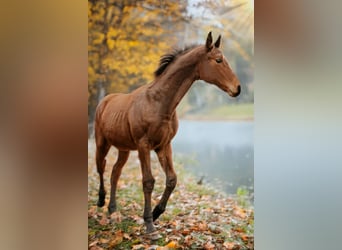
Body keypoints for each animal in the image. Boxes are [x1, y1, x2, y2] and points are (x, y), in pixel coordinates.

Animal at [93, 31, 240, 234]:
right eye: (218, 60)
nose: (237, 88)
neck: (159, 102)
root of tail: (105, 100)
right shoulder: (144, 145)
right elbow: (148, 182)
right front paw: (149, 224)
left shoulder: (164, 145)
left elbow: (171, 179)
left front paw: (156, 213)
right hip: (102, 143)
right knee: (101, 167)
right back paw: (101, 201)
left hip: (124, 149)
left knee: (115, 172)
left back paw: (113, 210)